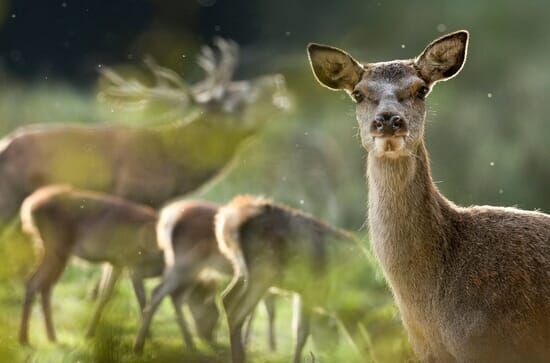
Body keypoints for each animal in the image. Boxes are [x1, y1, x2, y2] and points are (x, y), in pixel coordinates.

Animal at [0, 39, 286, 236]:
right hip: (9, 197)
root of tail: (5, 145)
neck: (171, 165)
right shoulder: (136, 193)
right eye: (237, 98)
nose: (275, 81)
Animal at [215, 196, 376, 363]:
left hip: (241, 270)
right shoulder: (312, 288)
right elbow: (304, 333)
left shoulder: (302, 293)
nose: (330, 354)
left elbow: (299, 331)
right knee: (237, 311)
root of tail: (229, 220)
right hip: (263, 270)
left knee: (226, 298)